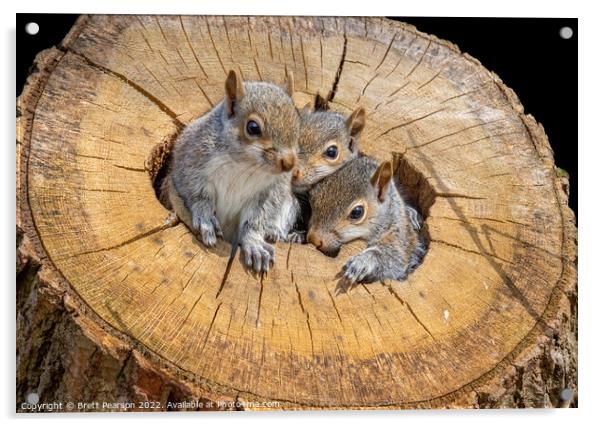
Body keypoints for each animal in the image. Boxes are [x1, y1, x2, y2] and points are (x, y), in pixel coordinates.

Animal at [164, 69, 300, 272]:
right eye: (253, 127)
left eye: (297, 125)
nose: (289, 163)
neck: (245, 165)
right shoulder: (190, 162)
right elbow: (197, 195)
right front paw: (206, 219)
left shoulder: (268, 192)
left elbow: (255, 220)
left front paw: (255, 244)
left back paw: (274, 230)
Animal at [308, 155, 424, 284]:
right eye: (312, 197)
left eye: (357, 212)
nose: (313, 239)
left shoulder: (400, 238)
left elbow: (394, 260)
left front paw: (361, 263)